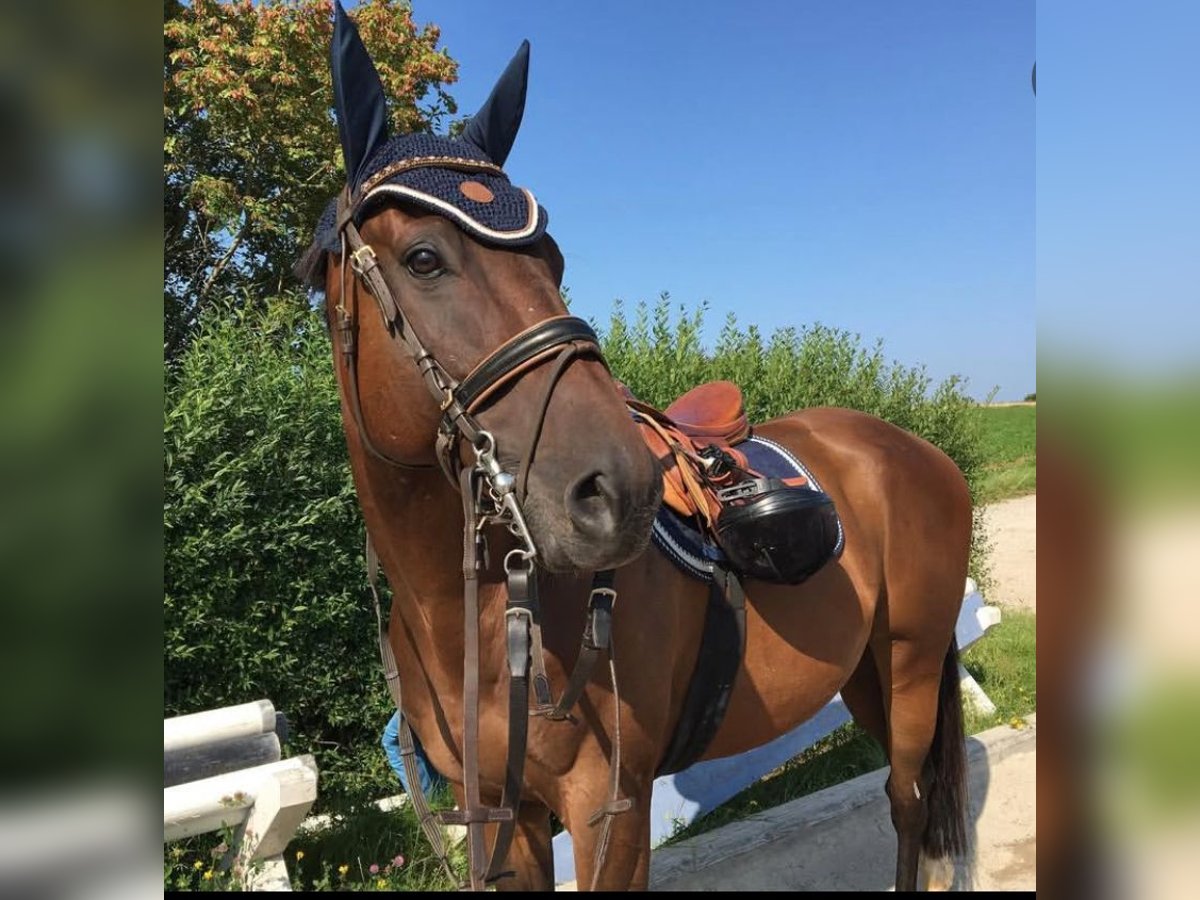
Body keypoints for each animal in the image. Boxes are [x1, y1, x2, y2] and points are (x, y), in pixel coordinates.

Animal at [300, 8, 974, 897]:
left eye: (553, 259)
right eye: (422, 258)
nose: (617, 489)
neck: (467, 619)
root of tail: (918, 450)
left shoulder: (608, 809)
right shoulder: (505, 820)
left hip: (911, 664)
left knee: (907, 800)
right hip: (862, 668)